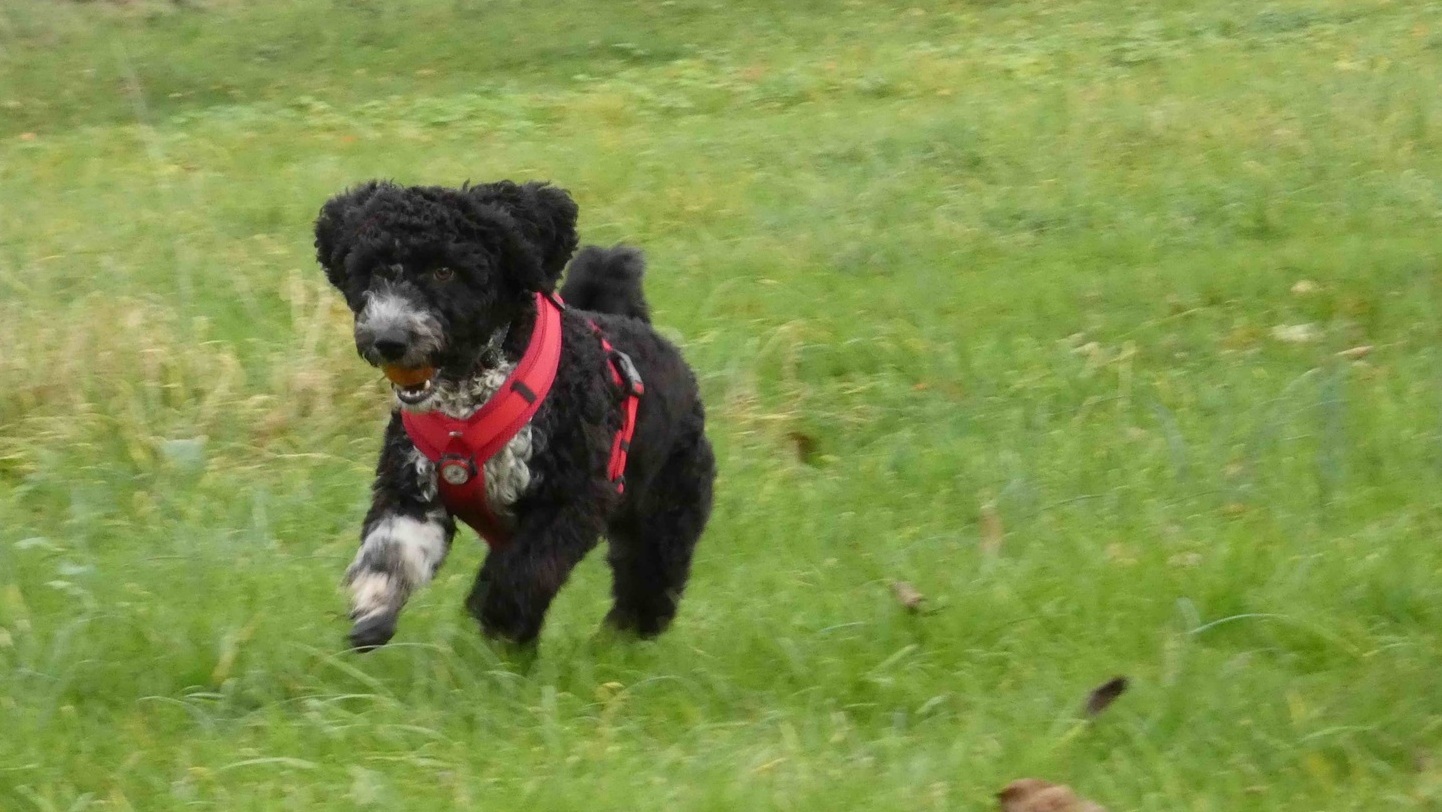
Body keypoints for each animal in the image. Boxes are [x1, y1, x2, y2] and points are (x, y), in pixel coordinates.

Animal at [313, 179, 715, 650]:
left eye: (445, 271)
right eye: (374, 270)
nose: (389, 340)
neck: (467, 403)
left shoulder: (569, 500)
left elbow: (522, 574)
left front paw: (499, 624)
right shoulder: (411, 487)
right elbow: (392, 550)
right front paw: (374, 607)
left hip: (665, 511)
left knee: (649, 581)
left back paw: (623, 639)